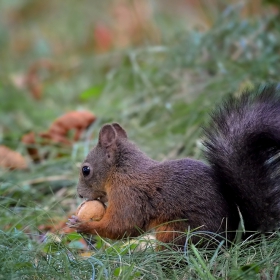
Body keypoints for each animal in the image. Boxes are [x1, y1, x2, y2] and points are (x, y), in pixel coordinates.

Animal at [68, 85, 280, 245]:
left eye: (86, 170)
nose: (80, 194)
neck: (122, 172)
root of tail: (233, 241)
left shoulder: (129, 195)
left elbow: (123, 226)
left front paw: (82, 224)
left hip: (177, 232)